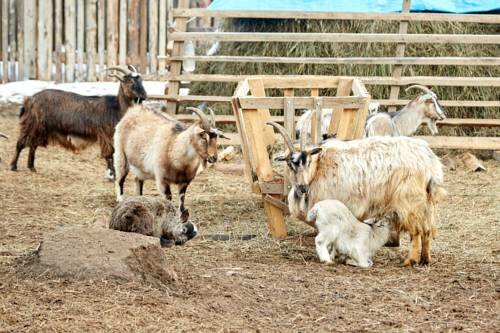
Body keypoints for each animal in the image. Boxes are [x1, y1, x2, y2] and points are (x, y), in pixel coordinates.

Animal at [9, 65, 146, 179]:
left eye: (141, 80)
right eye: (130, 81)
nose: (144, 96)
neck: (116, 107)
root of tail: (29, 100)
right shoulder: (106, 135)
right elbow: (109, 155)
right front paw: (111, 175)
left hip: (40, 129)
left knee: (33, 145)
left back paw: (31, 167)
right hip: (33, 125)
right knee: (20, 143)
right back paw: (13, 166)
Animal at [268, 110, 448, 266]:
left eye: (308, 161)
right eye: (290, 163)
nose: (302, 188)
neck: (318, 168)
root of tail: (429, 160)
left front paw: (334, 255)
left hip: (410, 201)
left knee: (416, 231)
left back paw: (410, 261)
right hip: (427, 202)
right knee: (427, 230)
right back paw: (425, 260)